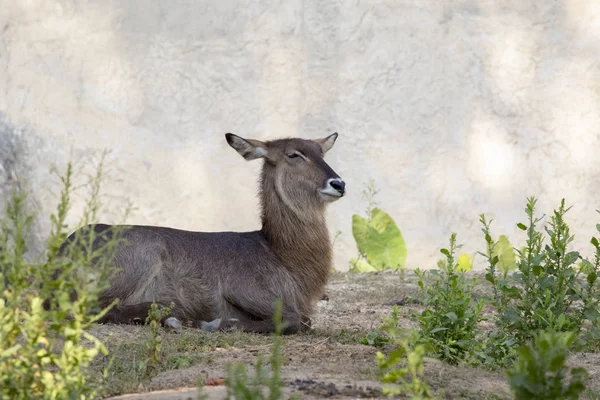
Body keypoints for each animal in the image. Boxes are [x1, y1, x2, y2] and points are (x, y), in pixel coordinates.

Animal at [60, 133, 344, 332]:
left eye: (321, 152)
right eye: (294, 154)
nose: (338, 183)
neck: (281, 255)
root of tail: (66, 247)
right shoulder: (244, 289)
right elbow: (294, 320)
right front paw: (214, 324)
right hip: (140, 259)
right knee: (92, 309)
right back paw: (170, 316)